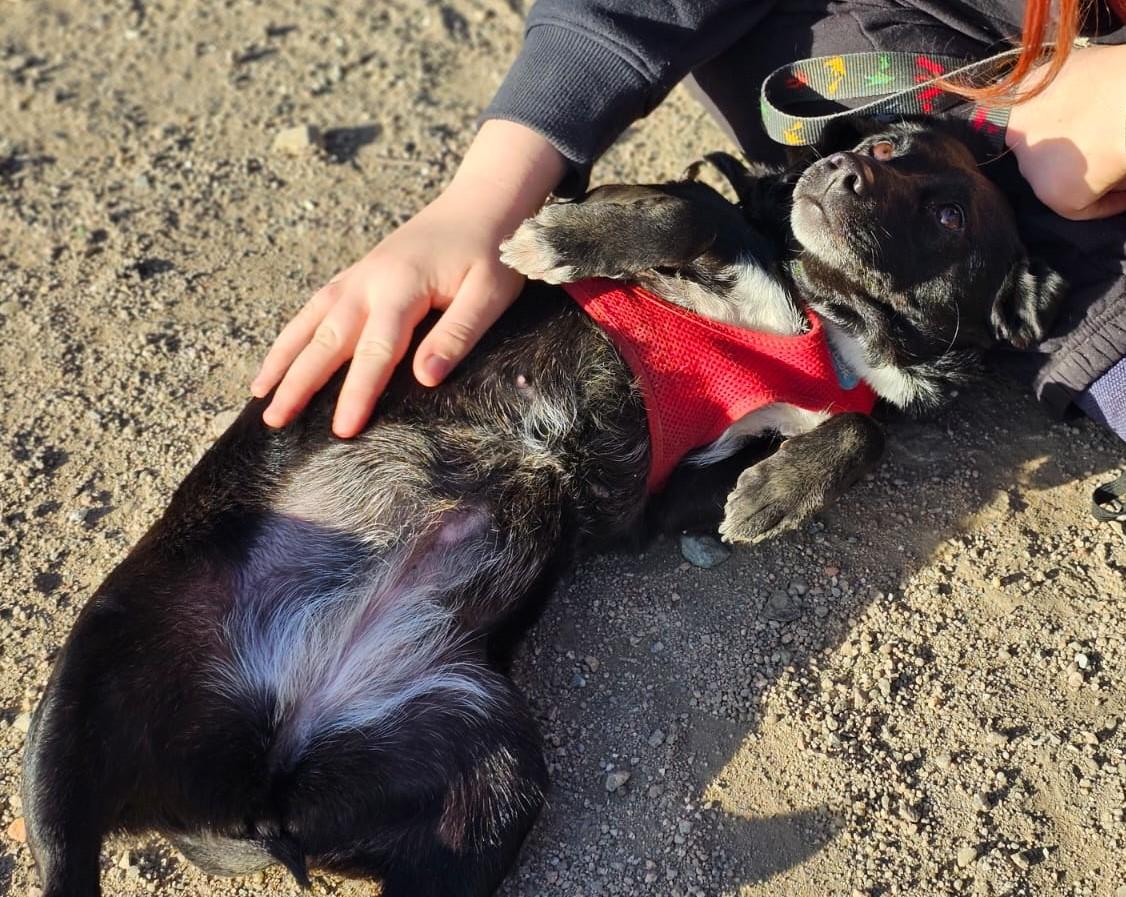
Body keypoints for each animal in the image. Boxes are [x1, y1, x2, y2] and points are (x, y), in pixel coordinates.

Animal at [23, 120, 1064, 897]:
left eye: (947, 210)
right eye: (884, 142)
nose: (838, 169)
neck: (827, 323)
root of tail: (267, 777)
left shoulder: (682, 488)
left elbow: (858, 433)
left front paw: (772, 496)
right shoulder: (695, 232)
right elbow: (675, 207)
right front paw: (552, 239)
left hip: (492, 782)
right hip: (81, 692)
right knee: (63, 845)